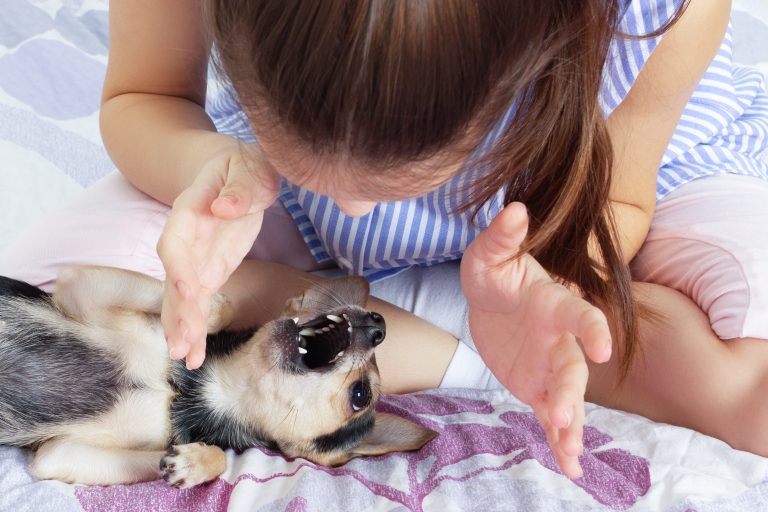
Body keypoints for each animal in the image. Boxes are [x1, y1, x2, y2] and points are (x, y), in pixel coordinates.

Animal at [0, 266, 436, 486]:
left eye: (361, 396)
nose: (379, 324)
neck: (186, 390)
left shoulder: (57, 454)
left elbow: (212, 459)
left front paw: (195, 463)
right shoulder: (83, 287)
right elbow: (221, 307)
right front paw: (193, 323)